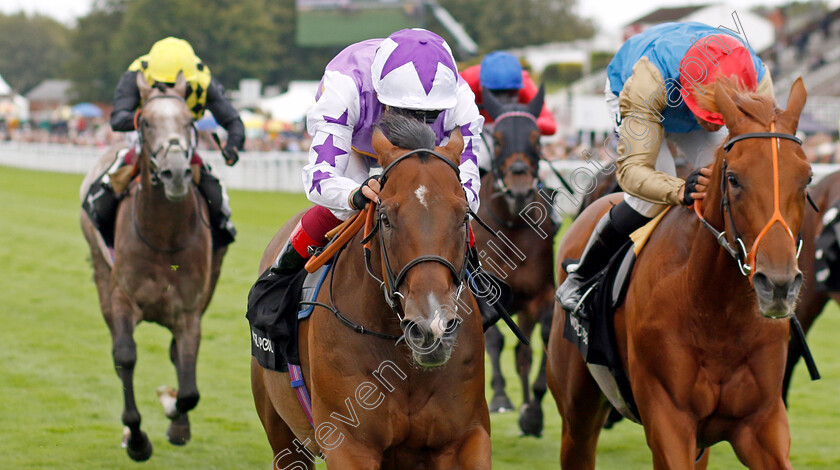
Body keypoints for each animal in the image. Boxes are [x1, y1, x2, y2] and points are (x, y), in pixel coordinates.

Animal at [79, 74, 221, 462]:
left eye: (189, 122)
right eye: (144, 123)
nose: (176, 174)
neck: (163, 234)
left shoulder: (189, 310)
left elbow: (188, 388)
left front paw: (174, 415)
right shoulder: (122, 298)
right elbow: (125, 356)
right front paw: (137, 438)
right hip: (101, 275)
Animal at [253, 114, 488, 470]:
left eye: (463, 216)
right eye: (386, 217)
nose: (431, 328)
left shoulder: (465, 437)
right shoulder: (349, 444)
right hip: (282, 431)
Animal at [548, 78, 812, 470]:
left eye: (807, 178)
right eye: (733, 179)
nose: (778, 285)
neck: (716, 314)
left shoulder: (761, 421)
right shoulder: (668, 420)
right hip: (577, 410)